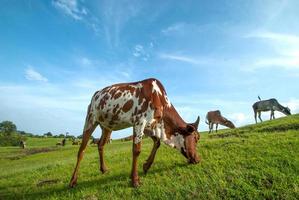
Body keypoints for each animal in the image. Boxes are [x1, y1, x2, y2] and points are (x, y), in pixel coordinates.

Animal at [69, 77, 202, 188]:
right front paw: (135, 180)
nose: (198, 159)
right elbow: (137, 150)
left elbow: (157, 142)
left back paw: (103, 169)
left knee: (100, 144)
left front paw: (146, 166)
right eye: (196, 139)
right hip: (91, 119)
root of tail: (96, 94)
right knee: (82, 150)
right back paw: (73, 181)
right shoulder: (139, 122)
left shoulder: (150, 126)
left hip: (107, 126)